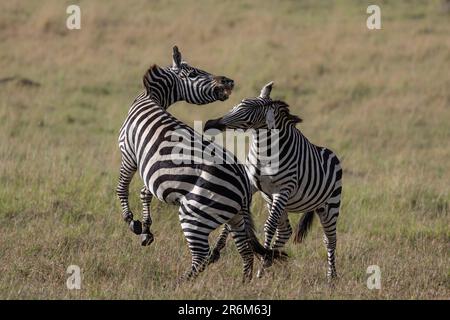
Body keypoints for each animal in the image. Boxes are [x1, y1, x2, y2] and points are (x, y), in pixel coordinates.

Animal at [117, 47, 284, 280]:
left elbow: (122, 188)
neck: (151, 99)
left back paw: (179, 282)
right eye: (194, 73)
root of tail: (243, 185)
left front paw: (131, 221)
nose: (229, 81)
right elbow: (144, 193)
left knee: (201, 255)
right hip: (234, 216)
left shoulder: (128, 153)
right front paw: (146, 230)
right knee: (245, 250)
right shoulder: (152, 170)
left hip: (194, 214)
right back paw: (243, 283)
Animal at [203, 82, 342, 280]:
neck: (265, 151)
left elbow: (268, 227)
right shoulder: (251, 185)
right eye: (238, 104)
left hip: (329, 206)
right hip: (278, 203)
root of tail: (331, 153)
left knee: (330, 240)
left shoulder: (283, 190)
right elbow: (231, 222)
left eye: (249, 115)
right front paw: (214, 253)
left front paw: (264, 261)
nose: (210, 124)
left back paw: (331, 276)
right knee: (285, 231)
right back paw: (269, 261)